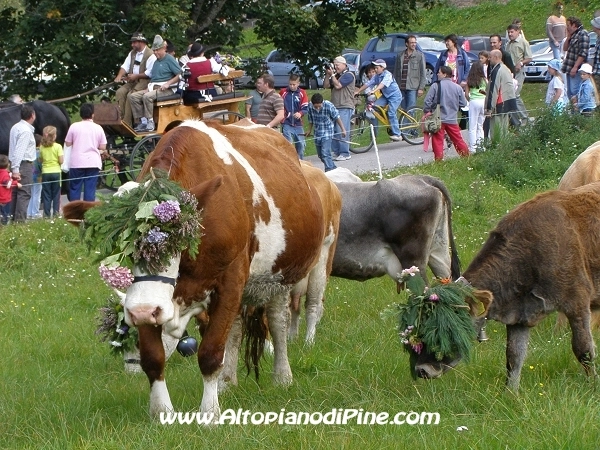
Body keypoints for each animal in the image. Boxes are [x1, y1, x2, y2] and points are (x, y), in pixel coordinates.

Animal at [63, 119, 325, 420]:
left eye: (175, 239)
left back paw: (282, 376)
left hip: (280, 277)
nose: (129, 368)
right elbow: (154, 358)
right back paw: (227, 382)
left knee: (278, 322)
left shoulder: (230, 280)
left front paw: (210, 413)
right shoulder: (150, 300)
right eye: (122, 245)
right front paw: (161, 413)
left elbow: (210, 352)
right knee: (236, 329)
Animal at [417, 183, 600, 390]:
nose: (422, 369)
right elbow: (513, 356)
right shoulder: (519, 317)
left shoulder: (577, 304)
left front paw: (594, 386)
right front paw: (510, 393)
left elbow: (583, 349)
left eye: (445, 328)